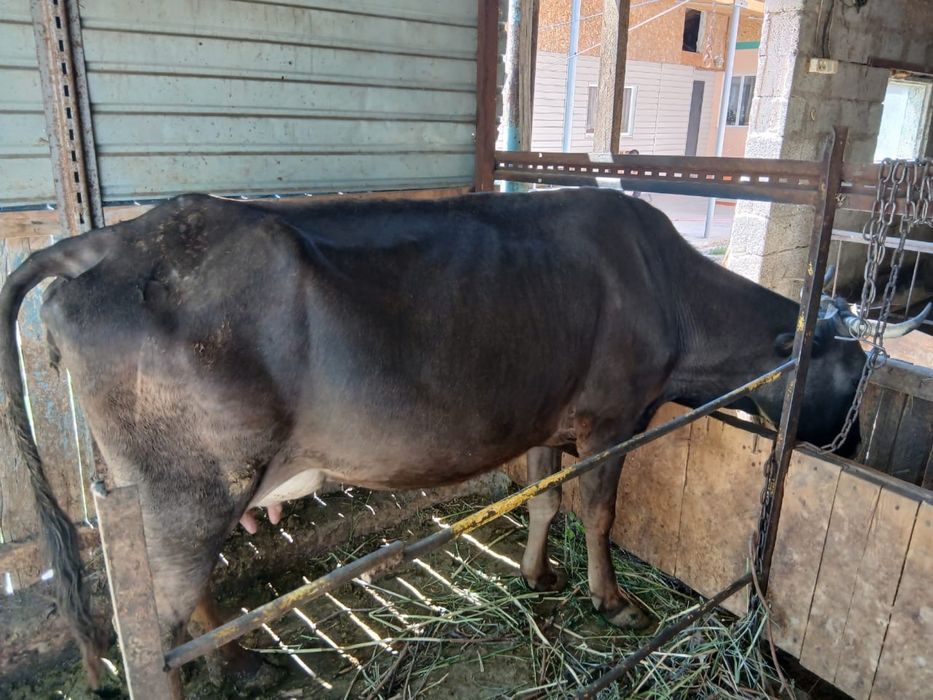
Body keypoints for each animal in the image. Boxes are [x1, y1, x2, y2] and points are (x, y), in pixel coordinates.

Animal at [1, 188, 927, 689]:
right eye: (853, 373)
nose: (851, 448)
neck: (670, 295)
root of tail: (106, 240)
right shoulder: (613, 415)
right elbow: (597, 510)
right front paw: (612, 602)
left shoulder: (551, 414)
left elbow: (545, 498)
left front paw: (534, 575)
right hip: (188, 484)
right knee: (153, 629)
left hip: (181, 491)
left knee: (183, 599)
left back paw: (245, 666)